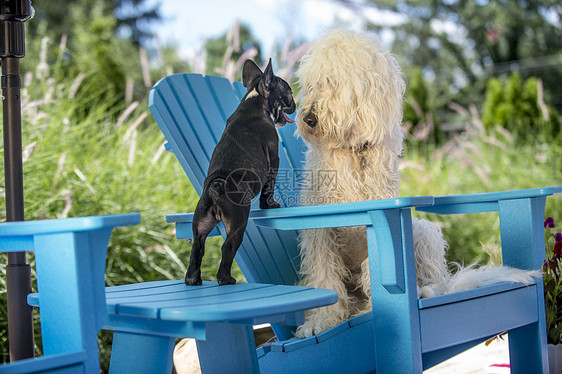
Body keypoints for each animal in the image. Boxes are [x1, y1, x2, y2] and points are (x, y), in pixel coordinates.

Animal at [290, 30, 536, 338]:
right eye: (311, 84)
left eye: (332, 82)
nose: (308, 118)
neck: (354, 152)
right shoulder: (319, 231)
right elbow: (324, 275)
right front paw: (320, 322)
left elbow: (375, 267)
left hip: (424, 232)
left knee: (433, 279)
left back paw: (422, 293)